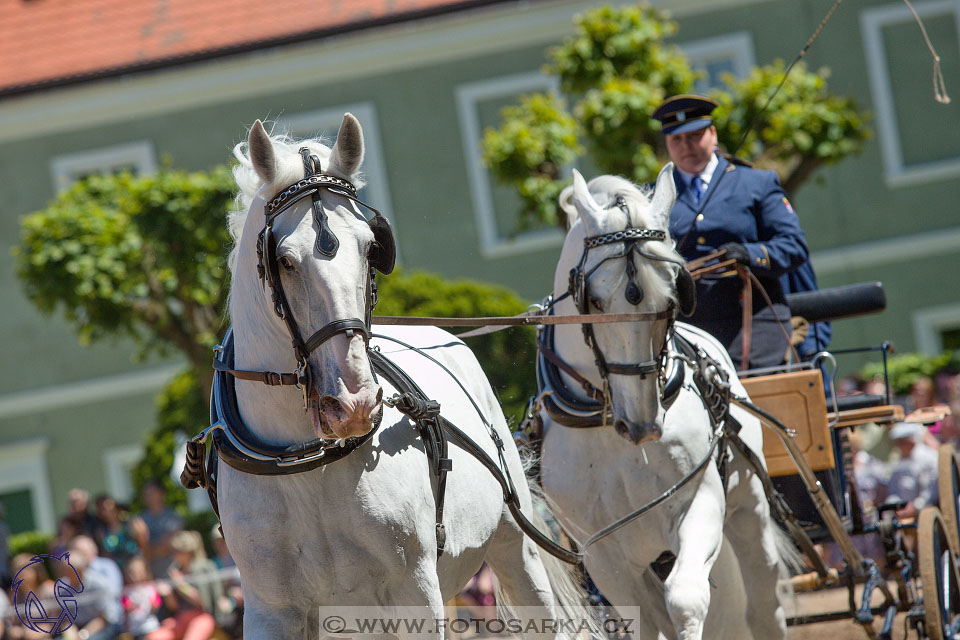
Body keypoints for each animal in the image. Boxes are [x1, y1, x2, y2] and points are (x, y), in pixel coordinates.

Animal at [217, 116, 592, 640]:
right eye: (284, 261)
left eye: (371, 248)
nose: (353, 404)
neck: (306, 463)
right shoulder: (272, 611)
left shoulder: (415, 592)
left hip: (513, 545)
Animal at [536, 169, 792, 640]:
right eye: (593, 302)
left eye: (672, 300)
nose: (642, 423)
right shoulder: (603, 554)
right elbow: (645, 619)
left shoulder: (699, 502)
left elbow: (686, 601)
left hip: (748, 508)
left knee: (764, 603)